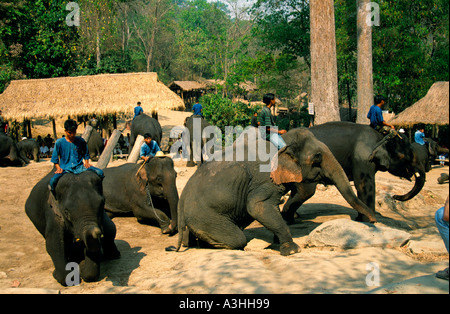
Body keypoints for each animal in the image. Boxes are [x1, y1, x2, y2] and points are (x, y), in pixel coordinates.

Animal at [176, 127, 376, 255]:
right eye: (317, 158)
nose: (373, 221)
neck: (283, 143)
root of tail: (181, 201)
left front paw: (277, 242)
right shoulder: (265, 179)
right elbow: (257, 206)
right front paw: (292, 250)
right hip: (205, 216)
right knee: (237, 239)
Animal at [282, 121, 428, 224]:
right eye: (409, 155)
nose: (395, 196)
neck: (381, 136)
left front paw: (360, 219)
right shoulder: (363, 158)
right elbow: (364, 185)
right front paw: (369, 221)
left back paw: (294, 217)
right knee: (306, 190)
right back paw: (289, 219)